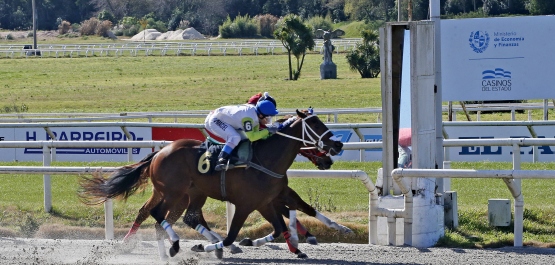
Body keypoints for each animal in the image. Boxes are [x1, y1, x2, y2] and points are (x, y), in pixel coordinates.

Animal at [79, 110, 344, 258]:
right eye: (316, 125)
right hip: (173, 192)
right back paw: (174, 246)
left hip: (188, 193)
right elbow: (231, 235)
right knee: (156, 214)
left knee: (179, 217)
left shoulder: (267, 201)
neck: (265, 159)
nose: (338, 145)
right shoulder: (247, 204)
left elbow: (285, 223)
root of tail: (159, 152)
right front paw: (214, 247)